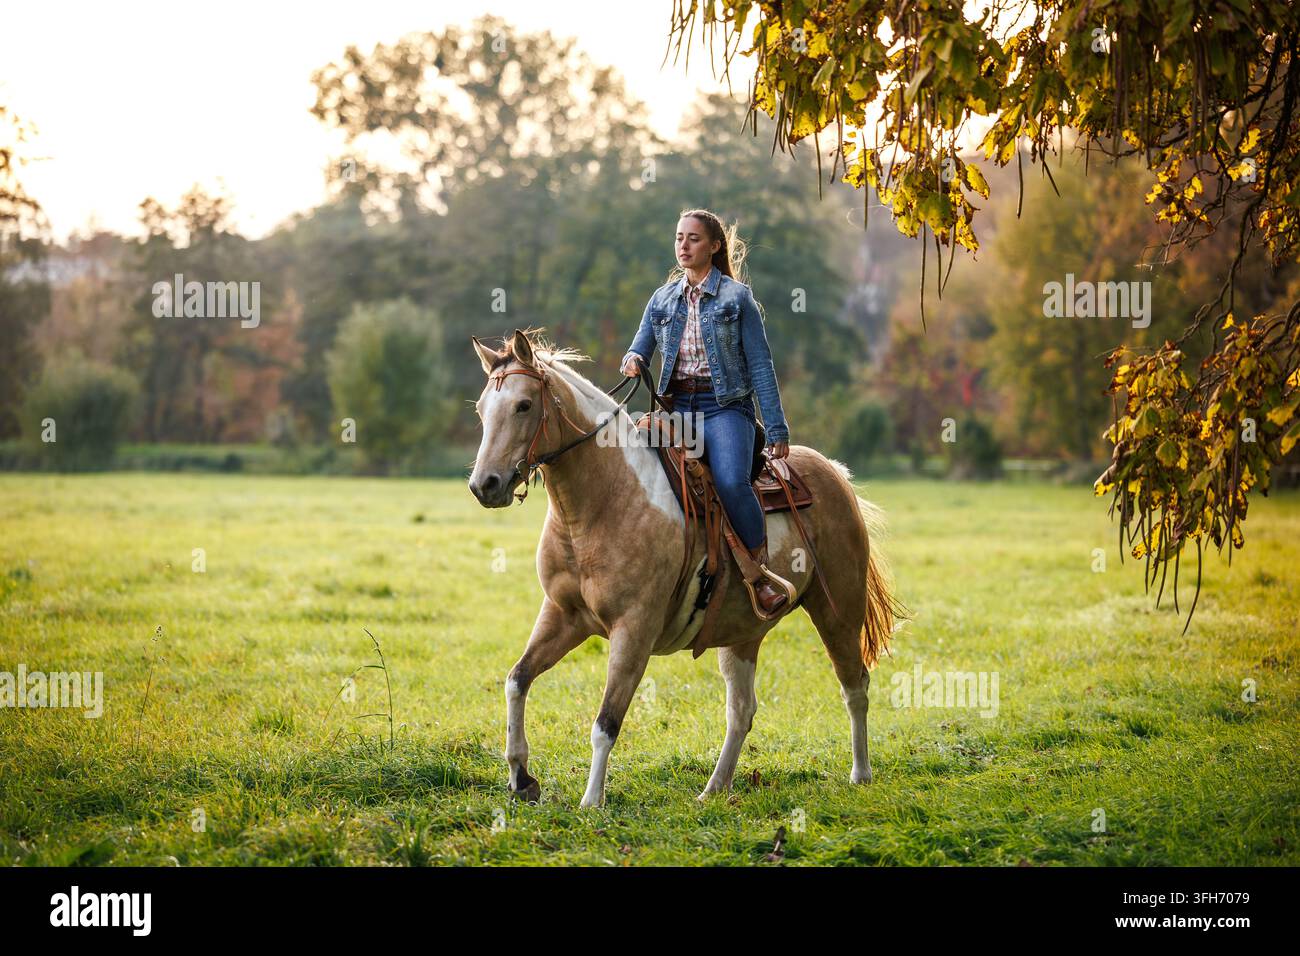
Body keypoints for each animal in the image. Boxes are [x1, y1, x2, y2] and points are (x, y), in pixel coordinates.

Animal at [468, 328, 897, 807]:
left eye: (524, 405)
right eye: (482, 409)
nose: (485, 485)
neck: (603, 502)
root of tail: (835, 473)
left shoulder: (633, 631)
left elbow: (605, 723)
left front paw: (591, 801)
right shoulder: (562, 615)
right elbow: (517, 680)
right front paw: (521, 777)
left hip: (838, 608)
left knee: (854, 685)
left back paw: (860, 774)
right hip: (742, 633)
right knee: (742, 710)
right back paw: (714, 788)